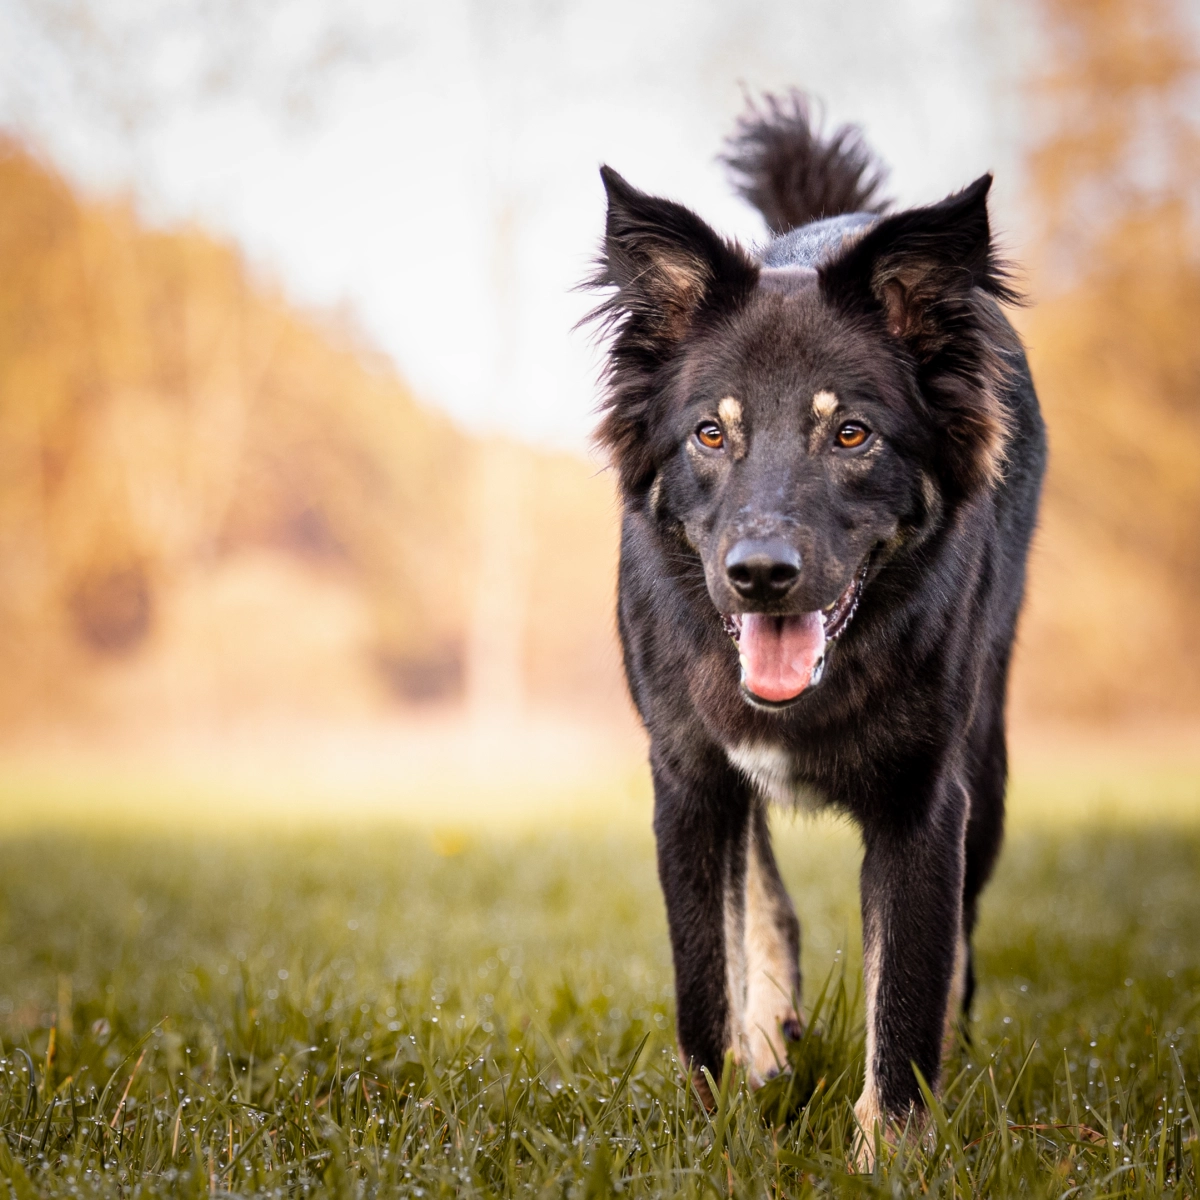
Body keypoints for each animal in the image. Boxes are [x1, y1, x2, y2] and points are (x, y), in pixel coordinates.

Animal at [585, 93, 1046, 1161]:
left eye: (851, 434)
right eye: (711, 432)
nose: (761, 576)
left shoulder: (927, 800)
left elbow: (906, 1002)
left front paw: (891, 1160)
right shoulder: (685, 779)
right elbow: (703, 988)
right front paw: (714, 1138)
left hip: (992, 760)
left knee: (957, 947)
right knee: (763, 895)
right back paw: (770, 1036)